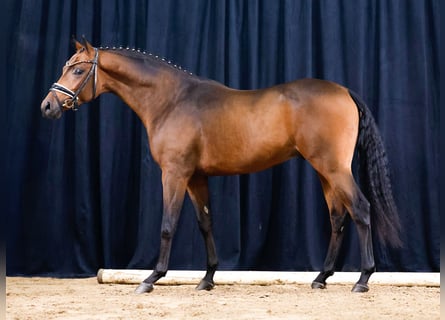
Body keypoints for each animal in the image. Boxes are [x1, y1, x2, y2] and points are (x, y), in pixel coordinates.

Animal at [41, 37, 400, 292]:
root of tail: (344, 91)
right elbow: (205, 223)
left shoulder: (174, 174)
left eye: (77, 70)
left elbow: (168, 224)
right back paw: (321, 277)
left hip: (334, 168)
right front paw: (207, 278)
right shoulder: (196, 177)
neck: (172, 101)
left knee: (361, 210)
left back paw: (362, 280)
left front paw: (151, 278)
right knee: (338, 218)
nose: (47, 106)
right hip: (325, 171)